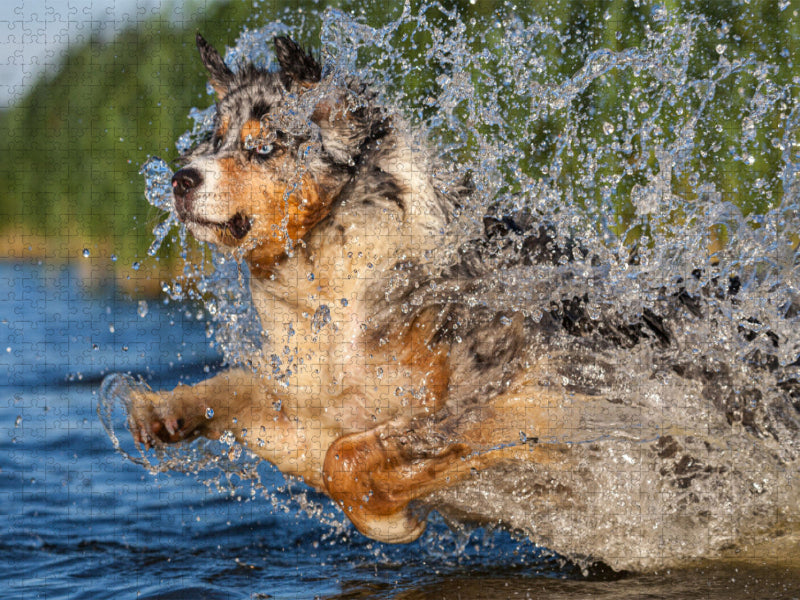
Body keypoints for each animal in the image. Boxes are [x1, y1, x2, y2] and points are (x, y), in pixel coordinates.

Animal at [115, 34, 796, 552]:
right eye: (212, 139)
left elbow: (347, 459)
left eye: (262, 147)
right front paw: (162, 409)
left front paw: (389, 521)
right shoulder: (319, 396)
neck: (338, 284)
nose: (180, 178)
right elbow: (250, 396)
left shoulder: (520, 391)